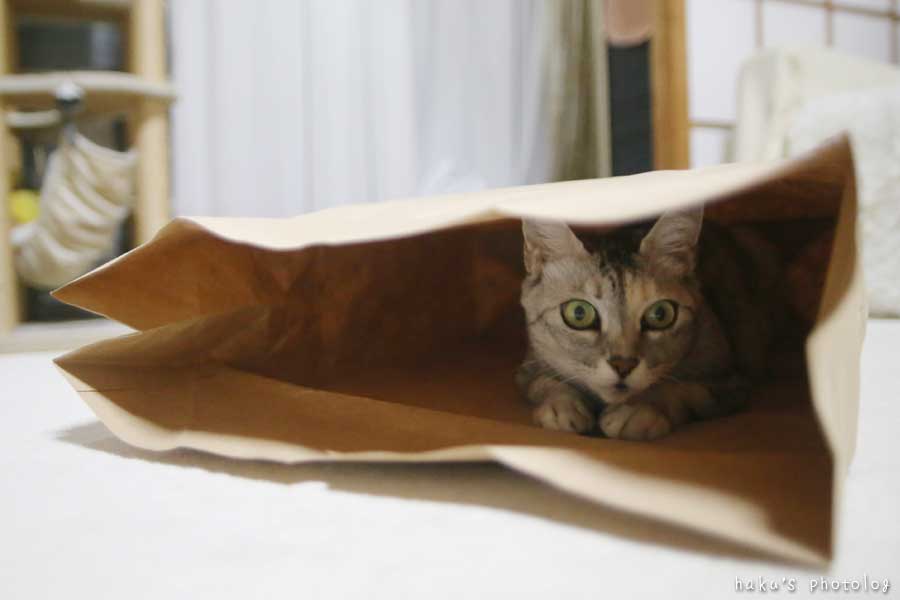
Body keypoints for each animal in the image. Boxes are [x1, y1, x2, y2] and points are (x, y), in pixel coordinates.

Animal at [516, 208, 780, 440]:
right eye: (579, 313)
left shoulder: (731, 383)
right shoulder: (529, 366)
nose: (623, 365)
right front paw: (562, 404)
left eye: (660, 314)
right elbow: (541, 382)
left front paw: (639, 409)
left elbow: (686, 388)